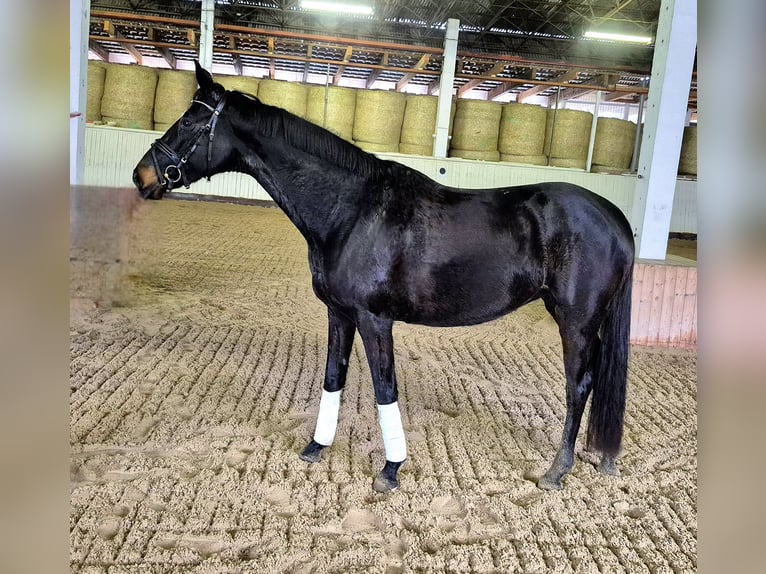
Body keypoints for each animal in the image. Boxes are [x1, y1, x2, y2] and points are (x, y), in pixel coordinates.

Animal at [134, 64, 636, 496]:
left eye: (188, 121)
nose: (142, 176)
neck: (351, 210)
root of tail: (615, 217)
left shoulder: (375, 319)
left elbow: (384, 388)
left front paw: (391, 468)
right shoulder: (339, 313)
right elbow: (333, 377)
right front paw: (316, 447)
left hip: (576, 323)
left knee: (579, 385)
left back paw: (557, 470)